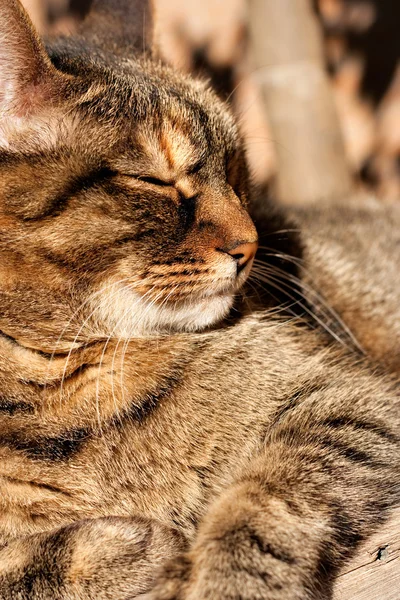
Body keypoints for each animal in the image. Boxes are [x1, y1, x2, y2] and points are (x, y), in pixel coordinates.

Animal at [0, 1, 398, 600]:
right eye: (159, 182)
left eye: (233, 169)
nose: (250, 245)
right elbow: (19, 565)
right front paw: (126, 548)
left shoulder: (348, 399)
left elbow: (264, 498)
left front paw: (228, 578)